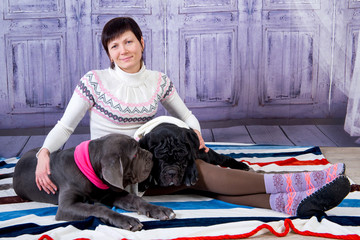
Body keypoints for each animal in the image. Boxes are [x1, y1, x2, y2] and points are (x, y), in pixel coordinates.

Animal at [13, 133, 176, 231]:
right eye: (135, 155)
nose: (151, 156)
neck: (90, 169)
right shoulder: (66, 207)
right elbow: (98, 208)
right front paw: (127, 220)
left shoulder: (110, 193)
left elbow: (136, 199)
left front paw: (159, 210)